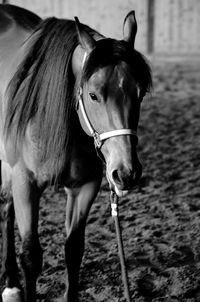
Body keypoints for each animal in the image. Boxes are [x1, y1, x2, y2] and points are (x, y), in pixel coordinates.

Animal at [0, 4, 152, 302]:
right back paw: (11, 283)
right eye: (93, 95)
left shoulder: (85, 186)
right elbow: (31, 256)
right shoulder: (25, 182)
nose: (126, 172)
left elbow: (73, 250)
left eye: (139, 94)